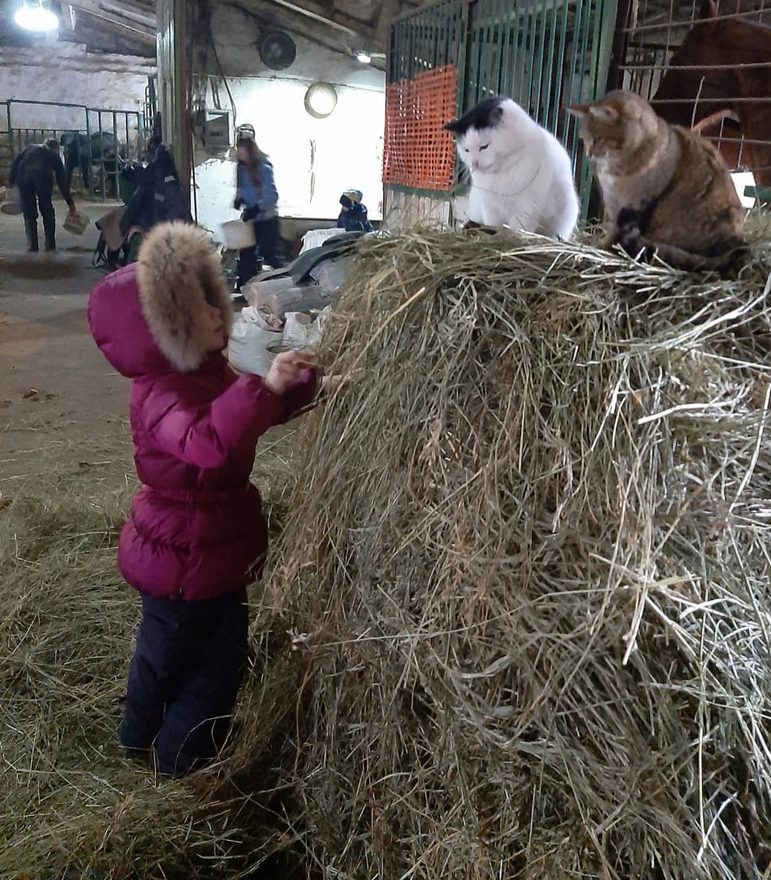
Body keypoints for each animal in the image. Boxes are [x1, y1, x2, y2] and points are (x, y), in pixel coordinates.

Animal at [446, 97, 580, 237]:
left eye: (484, 146)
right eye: (466, 150)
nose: (474, 163)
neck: (502, 170)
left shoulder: (526, 208)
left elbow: (518, 227)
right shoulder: (490, 207)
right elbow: (493, 224)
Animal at [568, 90, 744, 270]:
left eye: (598, 138)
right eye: (584, 138)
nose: (589, 153)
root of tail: (738, 247)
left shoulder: (636, 203)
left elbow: (618, 231)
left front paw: (609, 249)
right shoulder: (612, 203)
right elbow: (613, 229)